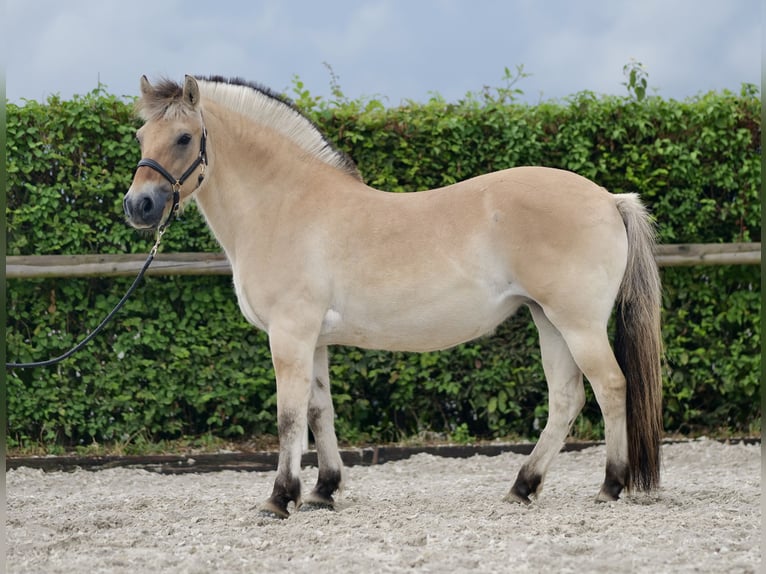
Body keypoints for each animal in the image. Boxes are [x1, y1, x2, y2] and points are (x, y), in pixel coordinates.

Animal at [123, 74, 664, 520]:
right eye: (140, 137)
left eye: (184, 137)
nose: (138, 206)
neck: (286, 205)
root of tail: (609, 199)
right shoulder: (314, 340)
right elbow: (320, 411)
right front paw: (323, 491)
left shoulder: (290, 334)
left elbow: (289, 416)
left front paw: (280, 498)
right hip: (547, 320)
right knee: (566, 399)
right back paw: (522, 487)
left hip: (578, 323)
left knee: (610, 387)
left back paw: (610, 485)